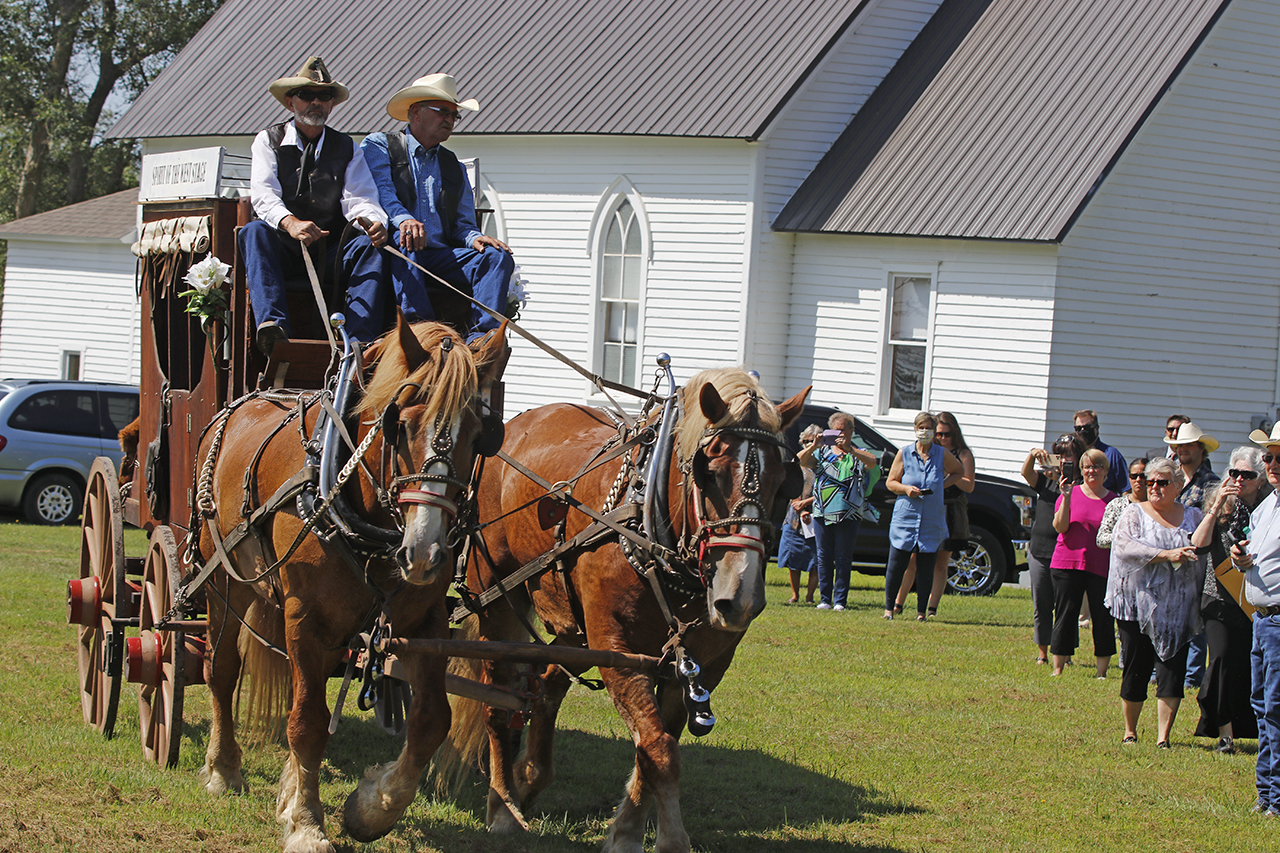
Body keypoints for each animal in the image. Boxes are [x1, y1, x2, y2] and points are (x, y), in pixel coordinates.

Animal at [194, 317, 504, 850]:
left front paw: (371, 808)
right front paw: (305, 822)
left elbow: (431, 721)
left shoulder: (424, 620)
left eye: (478, 434)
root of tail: (238, 405)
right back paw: (223, 768)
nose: (424, 553)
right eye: (400, 425)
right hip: (224, 583)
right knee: (223, 669)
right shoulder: (305, 619)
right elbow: (308, 723)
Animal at [440, 366, 798, 850]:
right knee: (497, 704)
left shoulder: (700, 665)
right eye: (708, 471)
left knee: (546, 686)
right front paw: (664, 839)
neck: (650, 526)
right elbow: (660, 749)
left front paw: (626, 830)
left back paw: (530, 777)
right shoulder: (618, 650)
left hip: (572, 624)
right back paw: (502, 806)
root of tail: (512, 427)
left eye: (782, 478)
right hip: (498, 600)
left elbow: (656, 743)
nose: (739, 596)